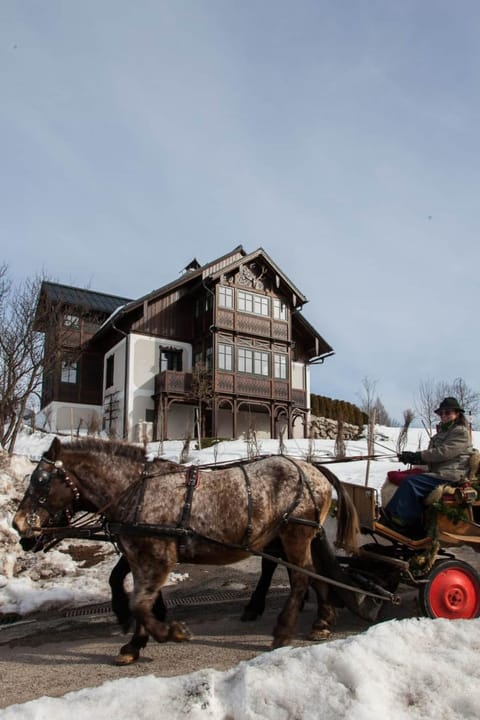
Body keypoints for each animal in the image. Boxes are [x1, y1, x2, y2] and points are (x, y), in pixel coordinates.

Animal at [14, 434, 368, 664]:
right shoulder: (140, 553)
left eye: (42, 480)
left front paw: (168, 632)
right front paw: (135, 641)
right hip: (292, 537)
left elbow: (140, 602)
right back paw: (321, 621)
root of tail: (312, 469)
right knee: (313, 574)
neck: (136, 491)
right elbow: (135, 594)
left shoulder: (157, 555)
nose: (19, 527)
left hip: (294, 533)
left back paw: (283, 631)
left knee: (300, 579)